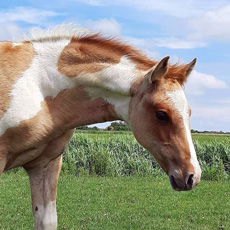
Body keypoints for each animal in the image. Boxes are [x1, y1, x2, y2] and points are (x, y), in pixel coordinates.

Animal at [0, 27, 201, 230]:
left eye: (189, 112)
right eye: (161, 114)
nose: (192, 176)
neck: (38, 84)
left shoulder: (46, 163)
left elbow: (47, 221)